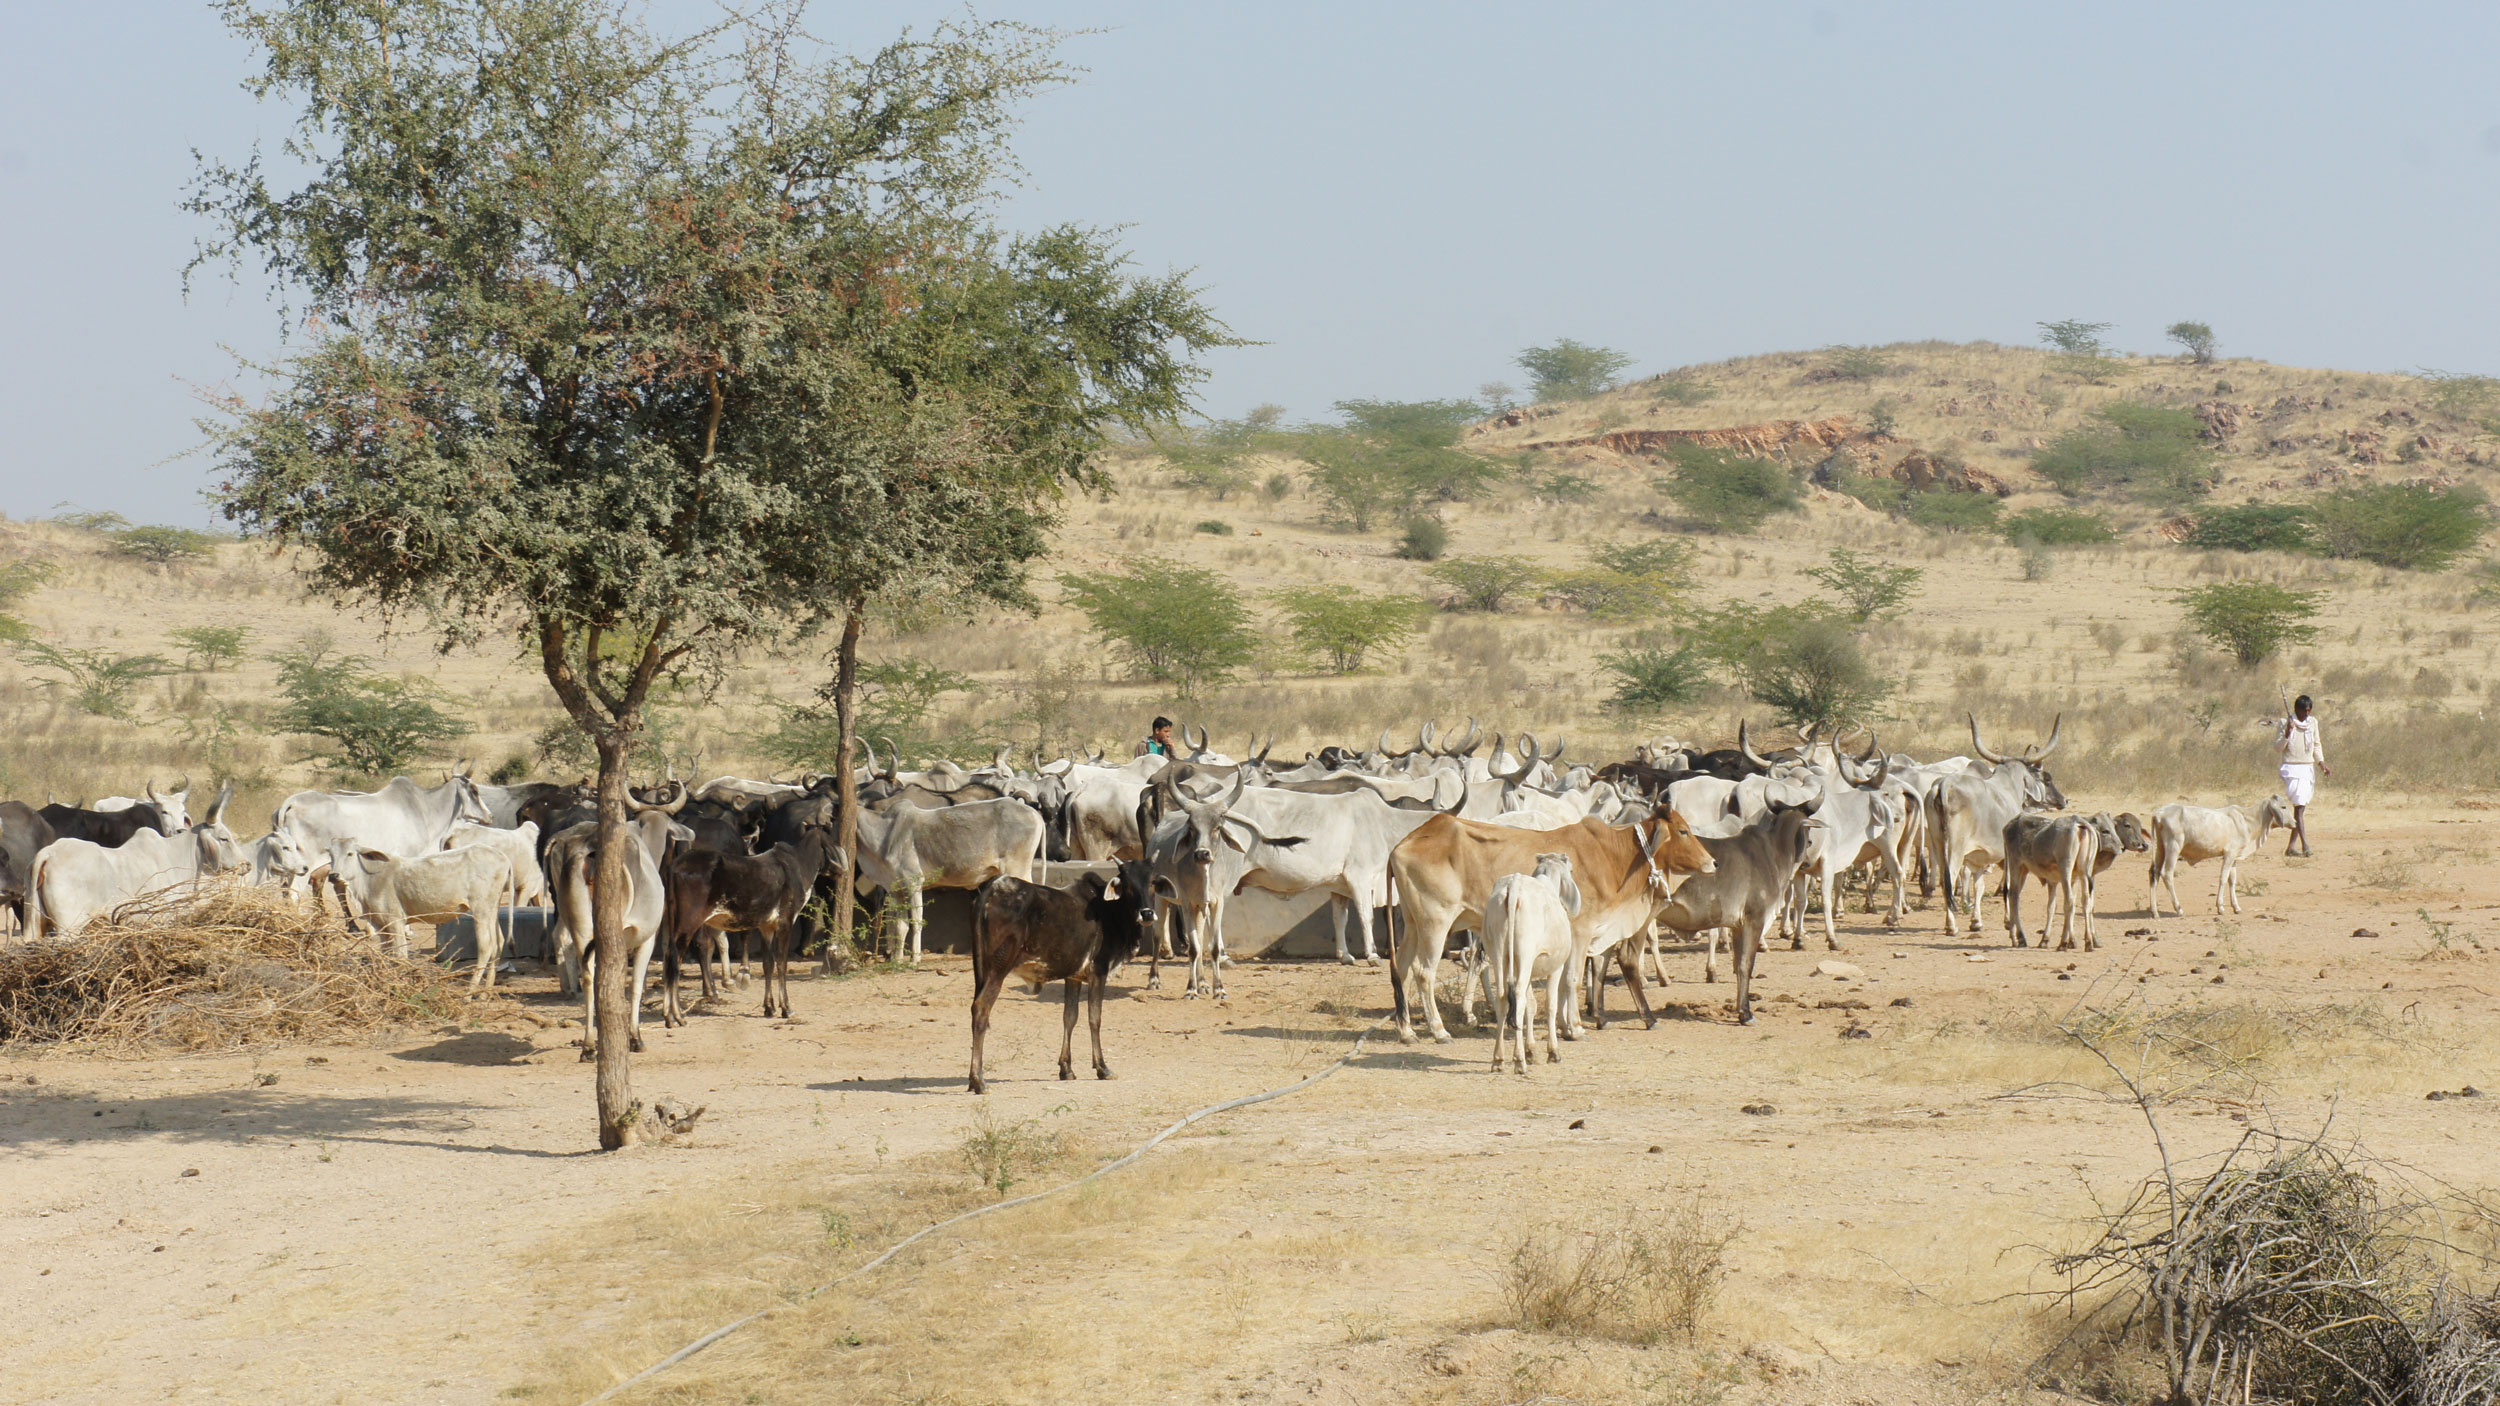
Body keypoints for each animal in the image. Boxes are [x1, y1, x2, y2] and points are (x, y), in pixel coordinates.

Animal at [1390, 800, 1720, 1040]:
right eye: (1683, 831)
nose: (1713, 862)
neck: (1614, 856)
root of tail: (1402, 844)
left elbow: (1562, 981)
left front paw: (1563, 1025)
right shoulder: (1582, 930)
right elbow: (1572, 978)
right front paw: (1575, 1027)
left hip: (1413, 924)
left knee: (1402, 969)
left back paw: (1407, 1032)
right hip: (1435, 922)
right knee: (1423, 972)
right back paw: (1438, 1030)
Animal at [1480, 855, 1580, 1070]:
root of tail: (1514, 886)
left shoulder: (1525, 969)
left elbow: (1531, 1005)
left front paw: (1531, 1051)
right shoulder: (1556, 967)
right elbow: (1550, 1005)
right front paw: (1553, 1052)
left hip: (1498, 954)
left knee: (1503, 997)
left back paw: (1498, 1059)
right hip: (1525, 953)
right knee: (1517, 995)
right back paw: (1519, 1061)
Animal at [2150, 795, 2290, 915]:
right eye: (2283, 807)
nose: (2293, 823)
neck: (2247, 820)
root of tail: (2158, 814)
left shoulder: (2234, 857)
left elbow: (2232, 880)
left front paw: (2236, 907)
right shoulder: (2229, 854)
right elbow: (2223, 878)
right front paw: (2220, 907)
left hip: (2160, 848)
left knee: (2154, 872)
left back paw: (2154, 911)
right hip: (2173, 848)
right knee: (2167, 874)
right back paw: (2178, 909)